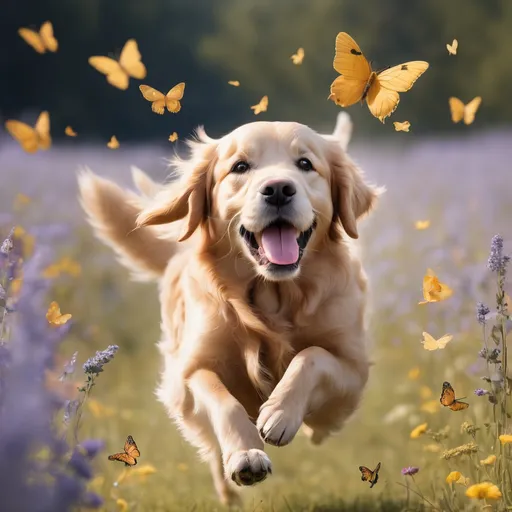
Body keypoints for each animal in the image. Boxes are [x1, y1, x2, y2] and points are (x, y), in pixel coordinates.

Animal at [77, 112, 380, 504]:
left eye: (305, 164)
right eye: (240, 166)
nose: (278, 189)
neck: (272, 295)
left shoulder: (352, 371)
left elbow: (310, 356)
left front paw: (280, 412)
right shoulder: (189, 372)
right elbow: (222, 399)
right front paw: (246, 454)